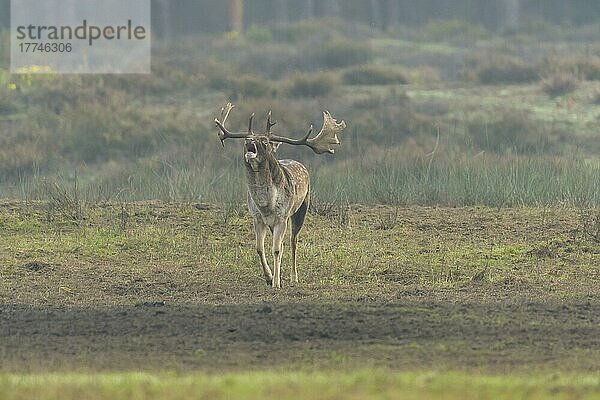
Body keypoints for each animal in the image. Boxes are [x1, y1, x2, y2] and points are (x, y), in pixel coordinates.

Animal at [216, 103, 346, 288]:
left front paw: (277, 283)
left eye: (264, 141)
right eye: (246, 139)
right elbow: (260, 248)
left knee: (293, 241)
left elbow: (276, 249)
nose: (249, 141)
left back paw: (294, 277)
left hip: (302, 208)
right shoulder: (258, 218)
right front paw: (269, 278)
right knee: (283, 244)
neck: (266, 205)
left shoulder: (282, 217)